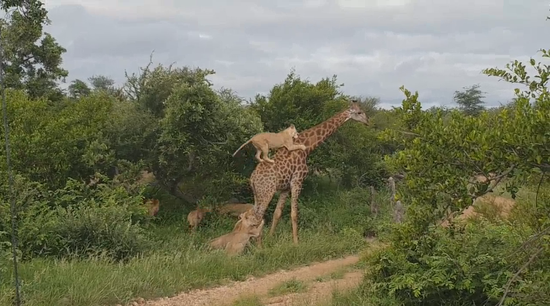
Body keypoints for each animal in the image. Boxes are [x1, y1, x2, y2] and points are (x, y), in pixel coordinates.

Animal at [247, 100, 370, 244]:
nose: (367, 121)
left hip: (257, 193)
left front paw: (271, 238)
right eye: (359, 112)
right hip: (267, 192)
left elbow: (277, 212)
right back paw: (257, 245)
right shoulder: (298, 180)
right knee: (258, 217)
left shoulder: (285, 187)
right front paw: (296, 243)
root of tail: (252, 178)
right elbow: (294, 213)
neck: (308, 147)